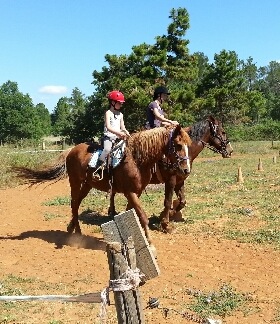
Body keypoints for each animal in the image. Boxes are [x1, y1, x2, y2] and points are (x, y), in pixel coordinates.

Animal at [12, 125, 191, 249]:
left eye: (188, 145)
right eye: (178, 145)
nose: (186, 170)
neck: (137, 159)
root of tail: (71, 150)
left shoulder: (136, 193)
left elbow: (131, 214)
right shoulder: (130, 192)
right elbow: (142, 216)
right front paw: (150, 243)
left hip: (87, 185)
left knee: (76, 204)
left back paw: (73, 229)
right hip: (75, 182)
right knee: (74, 203)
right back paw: (76, 232)